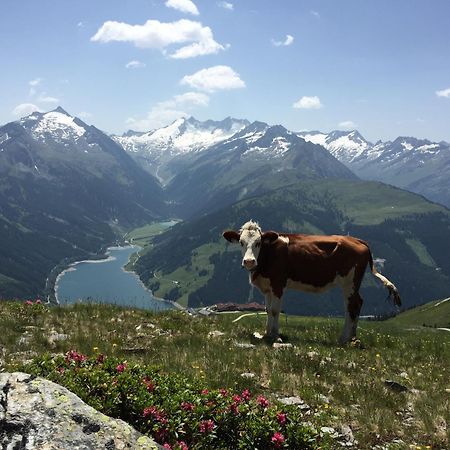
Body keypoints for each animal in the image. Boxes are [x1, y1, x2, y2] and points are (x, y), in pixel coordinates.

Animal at [221, 220, 400, 342]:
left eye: (258, 242)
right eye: (241, 242)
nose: (249, 261)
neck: (268, 256)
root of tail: (358, 240)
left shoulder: (278, 283)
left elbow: (275, 310)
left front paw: (276, 335)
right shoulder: (267, 287)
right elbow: (267, 310)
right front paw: (267, 333)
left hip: (349, 282)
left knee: (352, 306)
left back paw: (343, 339)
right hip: (353, 284)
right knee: (358, 303)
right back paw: (353, 337)